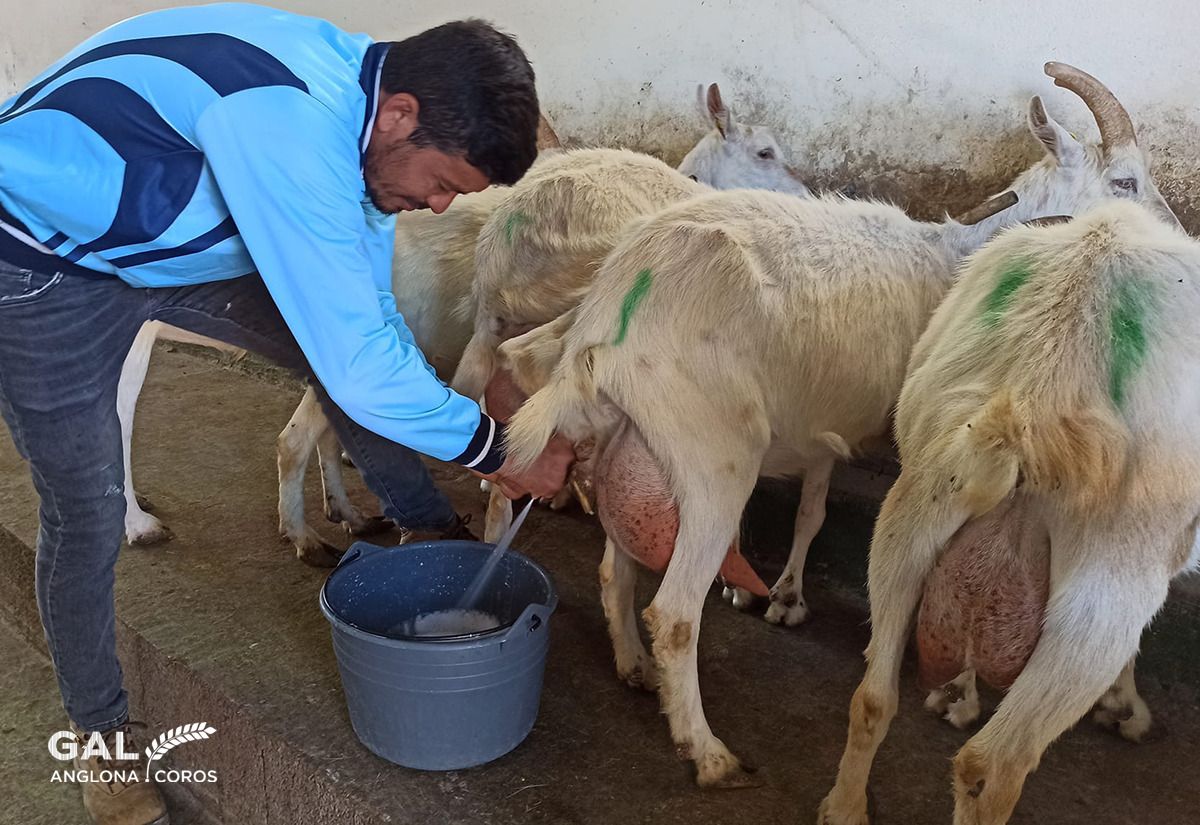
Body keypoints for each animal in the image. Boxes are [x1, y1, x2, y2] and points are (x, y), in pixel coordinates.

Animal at [499, 62, 1171, 786]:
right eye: (1125, 181)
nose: (1175, 237)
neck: (959, 250)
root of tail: (611, 306)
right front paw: (992, 694)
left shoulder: (824, 421)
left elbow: (814, 507)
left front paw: (784, 595)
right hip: (714, 454)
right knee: (674, 611)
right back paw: (707, 749)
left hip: (636, 438)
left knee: (616, 566)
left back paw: (634, 667)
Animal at [816, 197, 1190, 825]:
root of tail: (1036, 393)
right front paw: (1127, 707)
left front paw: (955, 696)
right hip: (1104, 595)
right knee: (992, 765)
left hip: (912, 514)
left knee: (872, 697)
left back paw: (843, 808)